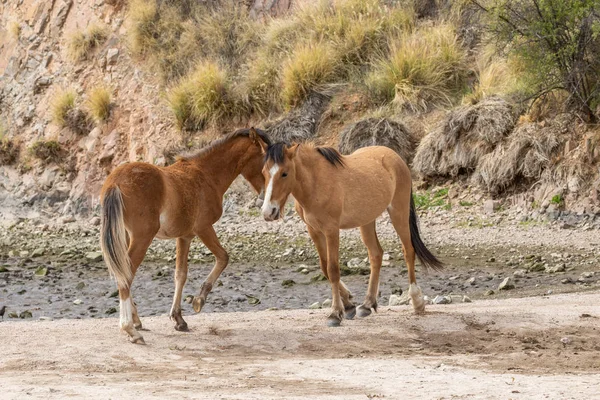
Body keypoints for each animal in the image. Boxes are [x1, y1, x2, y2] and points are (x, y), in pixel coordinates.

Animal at [100, 129, 270, 344]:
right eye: (265, 160)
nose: (265, 197)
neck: (205, 174)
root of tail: (115, 182)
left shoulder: (184, 237)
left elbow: (180, 274)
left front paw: (178, 319)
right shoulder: (203, 228)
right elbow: (223, 258)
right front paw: (199, 300)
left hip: (125, 237)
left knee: (123, 271)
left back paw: (136, 321)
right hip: (141, 238)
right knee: (126, 274)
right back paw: (130, 329)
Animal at [260, 142, 442, 326]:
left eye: (284, 173)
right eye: (264, 172)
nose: (268, 212)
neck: (316, 183)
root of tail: (395, 156)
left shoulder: (331, 230)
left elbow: (333, 269)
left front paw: (335, 313)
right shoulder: (314, 231)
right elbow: (324, 267)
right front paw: (348, 305)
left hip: (399, 212)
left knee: (408, 251)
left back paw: (417, 302)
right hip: (366, 221)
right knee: (376, 255)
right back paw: (367, 305)